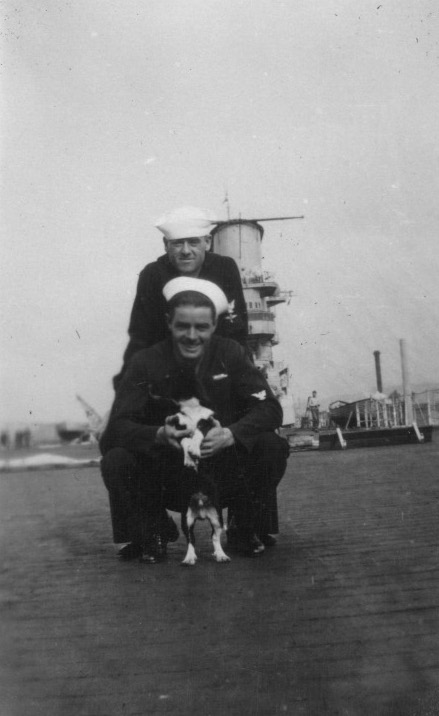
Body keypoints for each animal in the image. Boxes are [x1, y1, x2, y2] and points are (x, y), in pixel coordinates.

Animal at [167, 398, 232, 564]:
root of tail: (202, 511)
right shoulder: (179, 431)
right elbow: (185, 439)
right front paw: (189, 459)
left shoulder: (207, 425)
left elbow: (197, 433)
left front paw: (194, 451)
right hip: (186, 517)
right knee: (191, 539)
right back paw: (189, 558)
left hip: (216, 516)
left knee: (215, 537)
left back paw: (221, 555)